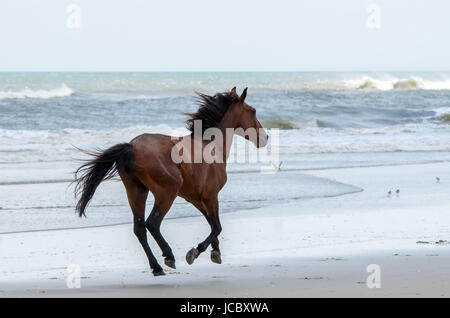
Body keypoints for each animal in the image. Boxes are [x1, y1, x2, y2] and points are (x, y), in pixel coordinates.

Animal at [74, 87, 268, 276]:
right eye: (253, 111)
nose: (265, 137)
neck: (211, 146)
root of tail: (132, 147)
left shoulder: (197, 199)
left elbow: (212, 224)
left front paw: (216, 252)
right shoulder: (211, 196)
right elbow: (217, 227)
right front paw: (195, 252)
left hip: (137, 191)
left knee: (139, 229)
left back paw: (156, 267)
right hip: (166, 193)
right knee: (152, 224)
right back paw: (169, 256)